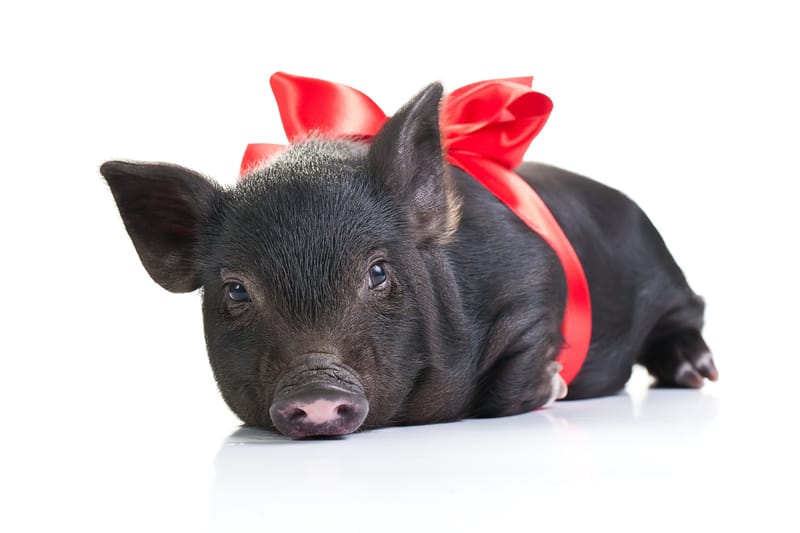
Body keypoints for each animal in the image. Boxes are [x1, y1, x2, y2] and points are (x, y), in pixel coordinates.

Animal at [100, 82, 717, 438]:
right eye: (235, 290)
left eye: (378, 272)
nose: (317, 390)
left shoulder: (536, 293)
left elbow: (512, 381)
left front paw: (553, 386)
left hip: (667, 279)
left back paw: (697, 373)